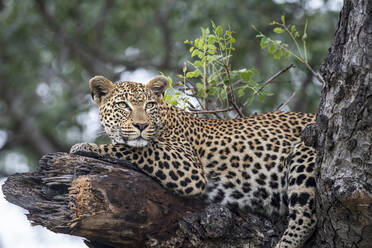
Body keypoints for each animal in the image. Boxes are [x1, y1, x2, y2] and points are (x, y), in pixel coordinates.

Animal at [72, 75, 316, 248]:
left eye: (149, 105)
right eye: (123, 105)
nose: (141, 125)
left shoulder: (187, 166)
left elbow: (133, 148)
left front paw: (86, 147)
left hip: (305, 153)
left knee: (306, 217)